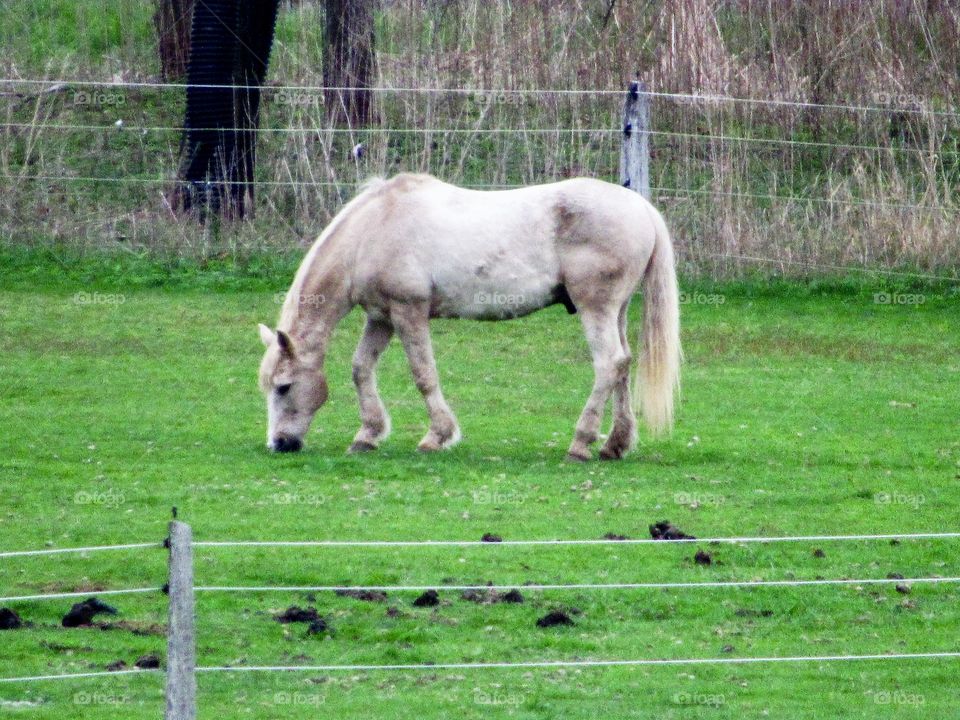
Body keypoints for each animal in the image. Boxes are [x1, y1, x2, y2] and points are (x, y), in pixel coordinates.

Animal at [258, 172, 680, 458]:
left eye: (284, 387)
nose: (280, 443)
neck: (373, 230)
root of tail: (641, 207)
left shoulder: (408, 312)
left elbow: (423, 374)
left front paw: (436, 436)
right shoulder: (381, 317)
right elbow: (361, 368)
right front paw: (368, 435)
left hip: (596, 307)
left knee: (608, 364)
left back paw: (580, 443)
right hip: (617, 311)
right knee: (623, 364)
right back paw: (614, 445)